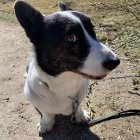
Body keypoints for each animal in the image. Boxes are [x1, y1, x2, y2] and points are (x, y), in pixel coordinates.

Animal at [14, 0, 120, 135]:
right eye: (71, 38)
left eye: (92, 29)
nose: (116, 62)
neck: (65, 83)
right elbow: (47, 113)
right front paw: (46, 124)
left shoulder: (78, 97)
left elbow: (78, 106)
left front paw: (81, 115)